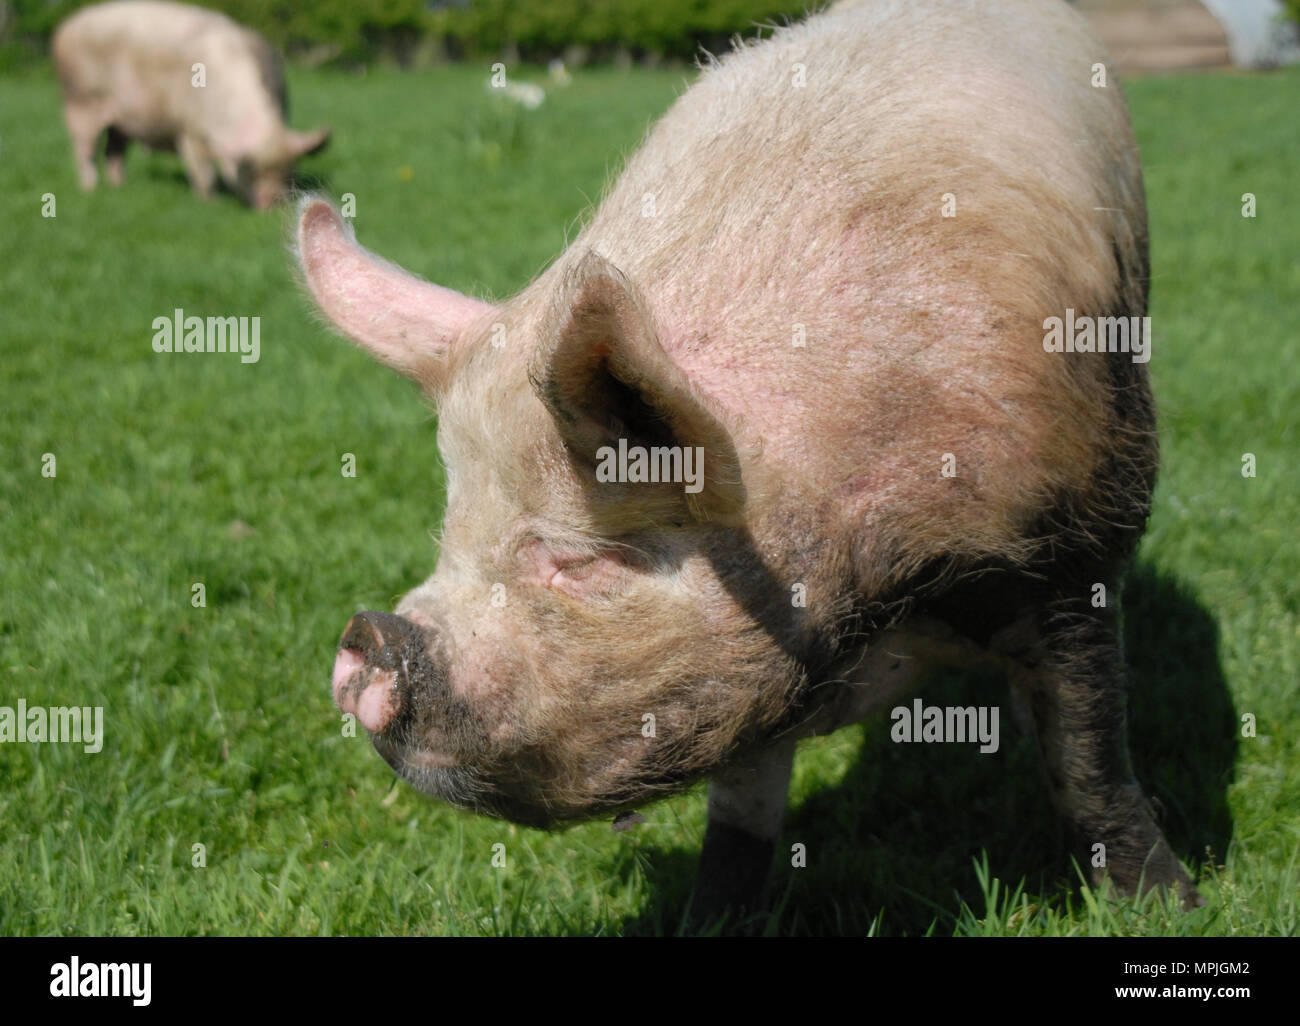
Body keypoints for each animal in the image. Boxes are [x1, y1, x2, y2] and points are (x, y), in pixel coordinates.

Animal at [299, 0, 1201, 920]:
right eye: (450, 523)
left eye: (579, 559)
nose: (367, 638)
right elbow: (741, 811)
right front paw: (710, 918)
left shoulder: (1073, 546)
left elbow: (1090, 763)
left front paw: (1171, 905)